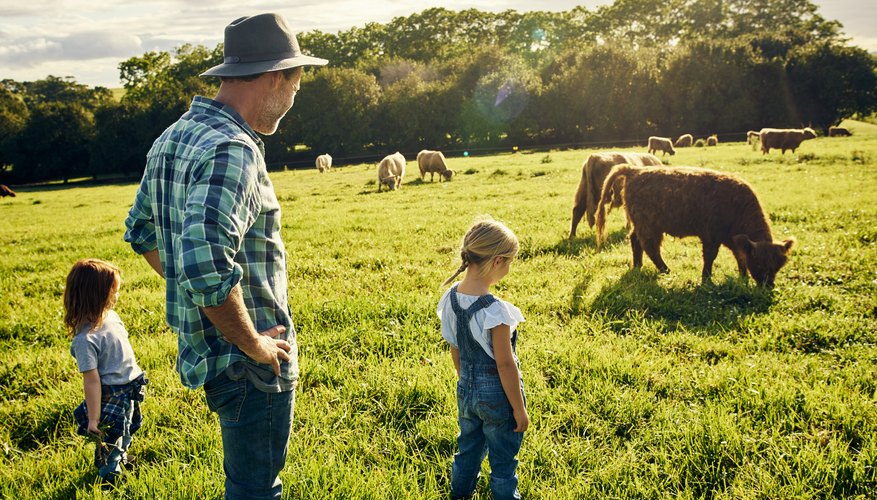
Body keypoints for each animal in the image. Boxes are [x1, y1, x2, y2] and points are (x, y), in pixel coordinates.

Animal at [596, 165, 792, 286]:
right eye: (759, 263)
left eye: (778, 265)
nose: (768, 286)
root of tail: (634, 170)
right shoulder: (711, 236)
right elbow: (710, 257)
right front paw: (706, 280)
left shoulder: (732, 240)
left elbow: (740, 257)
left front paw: (742, 278)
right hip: (649, 225)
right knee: (650, 247)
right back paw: (666, 270)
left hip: (642, 224)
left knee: (635, 240)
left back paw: (638, 266)